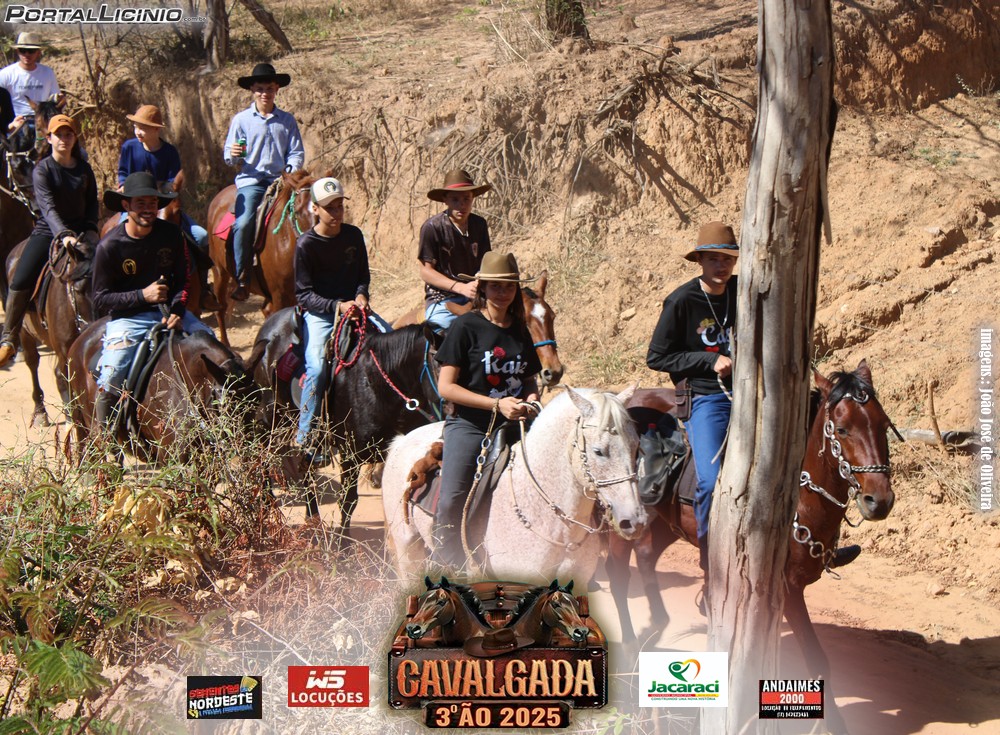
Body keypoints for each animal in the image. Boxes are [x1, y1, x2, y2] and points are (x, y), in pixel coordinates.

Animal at [4, 233, 94, 426]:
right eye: (78, 290)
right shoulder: (64, 354)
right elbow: (66, 383)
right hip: (24, 331)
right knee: (32, 362)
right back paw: (40, 412)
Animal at [247, 313, 443, 530]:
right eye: (441, 366)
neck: (379, 386)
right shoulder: (350, 454)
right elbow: (348, 502)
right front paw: (343, 539)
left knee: (306, 466)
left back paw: (312, 516)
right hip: (271, 415)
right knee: (261, 448)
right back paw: (268, 501)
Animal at [607, 360, 897, 735]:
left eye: (884, 425)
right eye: (843, 429)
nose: (880, 500)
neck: (798, 493)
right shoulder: (787, 589)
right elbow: (818, 660)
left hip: (664, 522)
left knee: (645, 557)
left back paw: (655, 627)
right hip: (624, 517)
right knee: (617, 575)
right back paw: (631, 649)